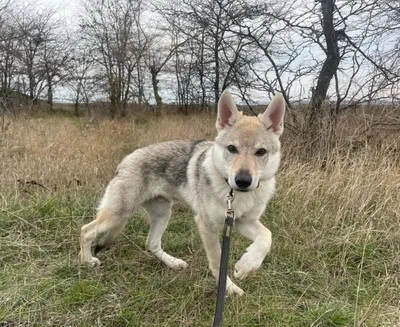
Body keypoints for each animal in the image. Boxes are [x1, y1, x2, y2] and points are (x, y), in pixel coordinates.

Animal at [79, 90, 284, 298]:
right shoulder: (206, 225)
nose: (243, 181)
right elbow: (218, 262)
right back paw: (87, 261)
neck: (235, 194)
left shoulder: (243, 222)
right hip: (118, 215)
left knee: (151, 243)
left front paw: (248, 265)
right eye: (232, 149)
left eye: (261, 152)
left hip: (162, 214)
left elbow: (267, 237)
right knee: (86, 231)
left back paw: (174, 263)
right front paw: (229, 288)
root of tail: (125, 160)